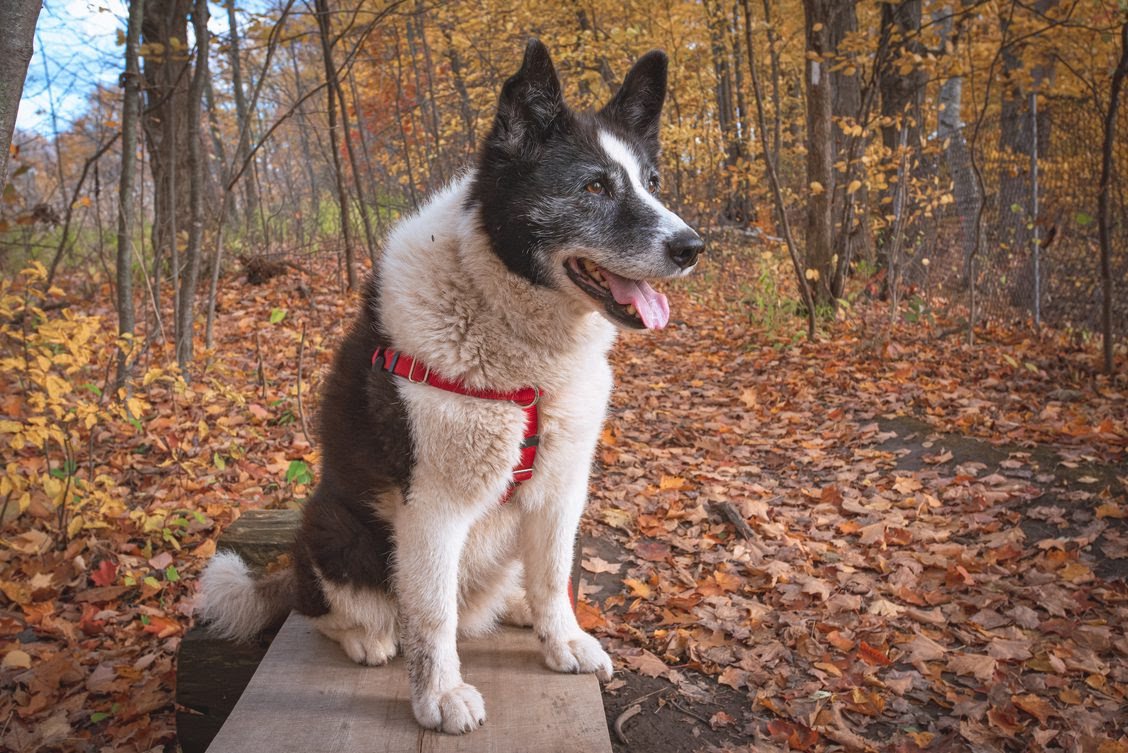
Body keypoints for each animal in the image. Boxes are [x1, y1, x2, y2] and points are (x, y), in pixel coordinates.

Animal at [198, 38, 699, 730]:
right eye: (594, 186)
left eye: (652, 183)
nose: (692, 247)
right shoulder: (433, 507)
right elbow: (431, 615)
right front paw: (437, 696)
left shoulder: (561, 488)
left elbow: (553, 575)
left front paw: (562, 640)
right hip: (336, 530)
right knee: (329, 609)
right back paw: (366, 636)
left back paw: (515, 608)